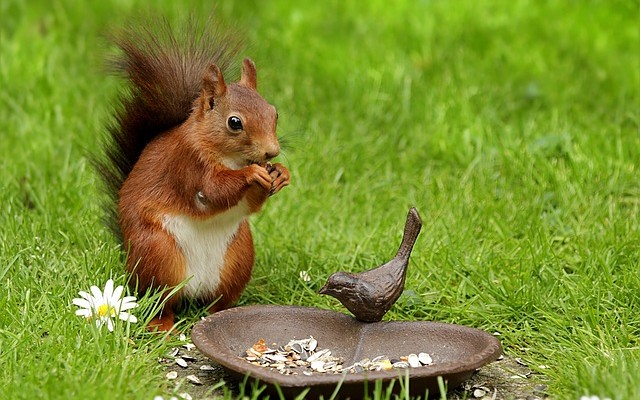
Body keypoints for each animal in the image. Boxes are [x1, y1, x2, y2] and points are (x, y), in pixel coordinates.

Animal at [99, 18, 290, 330]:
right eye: (234, 122)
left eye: (274, 113)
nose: (271, 152)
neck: (230, 158)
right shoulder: (187, 164)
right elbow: (213, 191)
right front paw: (252, 174)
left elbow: (250, 205)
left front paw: (281, 174)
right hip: (159, 254)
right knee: (160, 300)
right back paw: (161, 325)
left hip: (238, 257)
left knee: (218, 300)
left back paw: (222, 313)